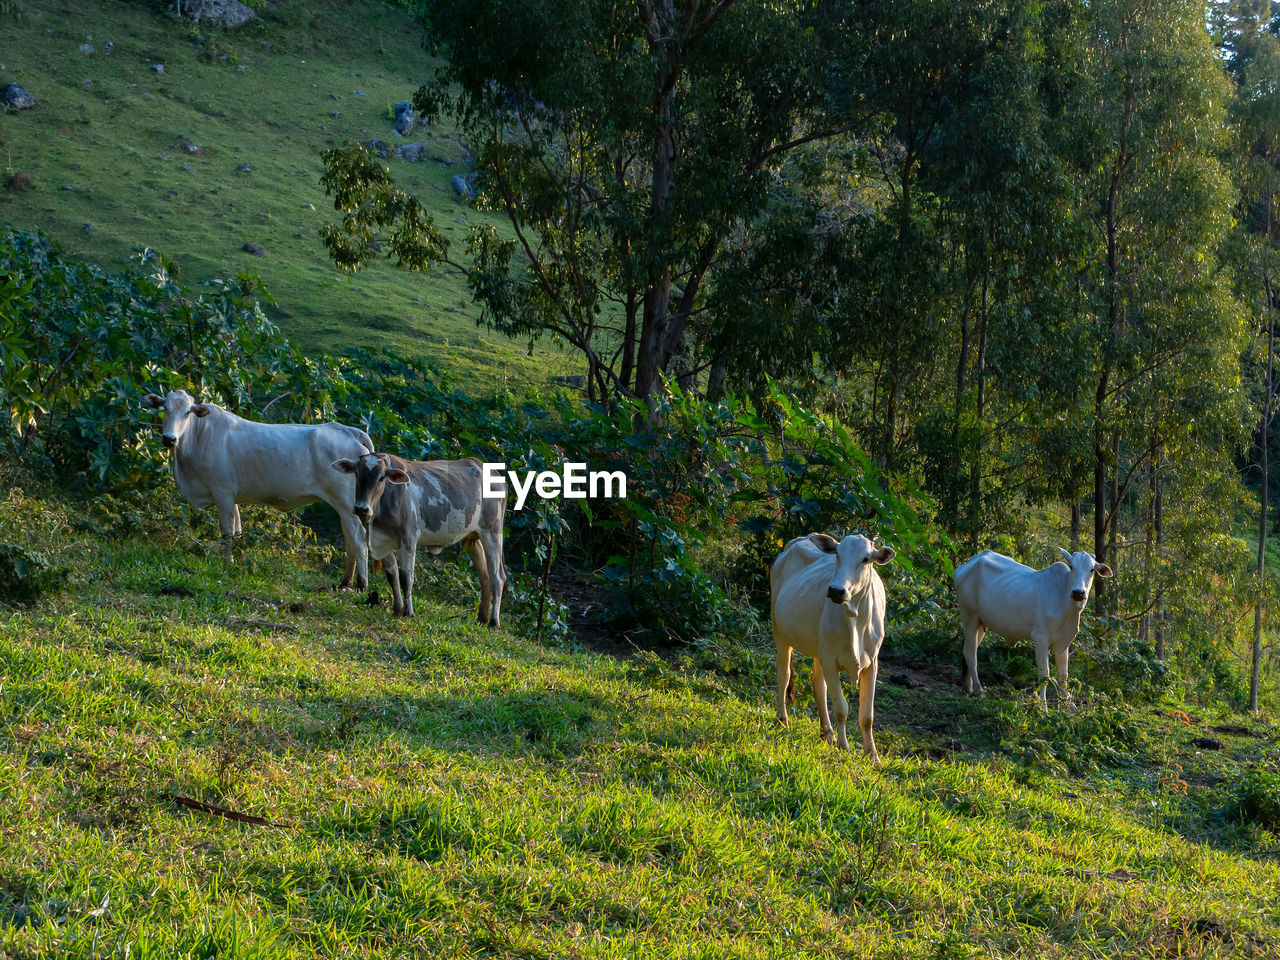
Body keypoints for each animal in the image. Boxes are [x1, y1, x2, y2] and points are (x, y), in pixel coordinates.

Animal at [147, 386, 373, 591]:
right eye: (165, 408)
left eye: (187, 412)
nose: (169, 438)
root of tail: (348, 430)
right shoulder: (233, 497)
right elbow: (238, 531)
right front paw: (238, 561)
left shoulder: (222, 492)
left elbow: (227, 531)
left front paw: (227, 562)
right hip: (345, 506)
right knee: (349, 539)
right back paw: (345, 582)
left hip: (345, 502)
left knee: (359, 538)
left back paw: (362, 585)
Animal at [768, 529, 901, 762]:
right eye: (838, 554)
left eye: (866, 559)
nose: (836, 590)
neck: (855, 619)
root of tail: (798, 540)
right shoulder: (831, 660)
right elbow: (841, 708)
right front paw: (844, 746)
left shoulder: (872, 662)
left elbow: (867, 715)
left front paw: (872, 755)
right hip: (780, 634)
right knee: (784, 677)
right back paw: (783, 721)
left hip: (819, 649)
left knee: (817, 683)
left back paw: (827, 733)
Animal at [957, 547, 1116, 706]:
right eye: (1071, 567)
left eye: (1092, 570)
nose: (1078, 592)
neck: (1064, 602)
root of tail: (968, 562)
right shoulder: (1040, 639)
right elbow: (1044, 675)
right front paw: (1043, 707)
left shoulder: (1063, 642)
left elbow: (1063, 675)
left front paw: (1067, 704)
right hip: (969, 617)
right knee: (970, 654)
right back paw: (979, 691)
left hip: (980, 624)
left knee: (969, 651)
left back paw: (969, 688)